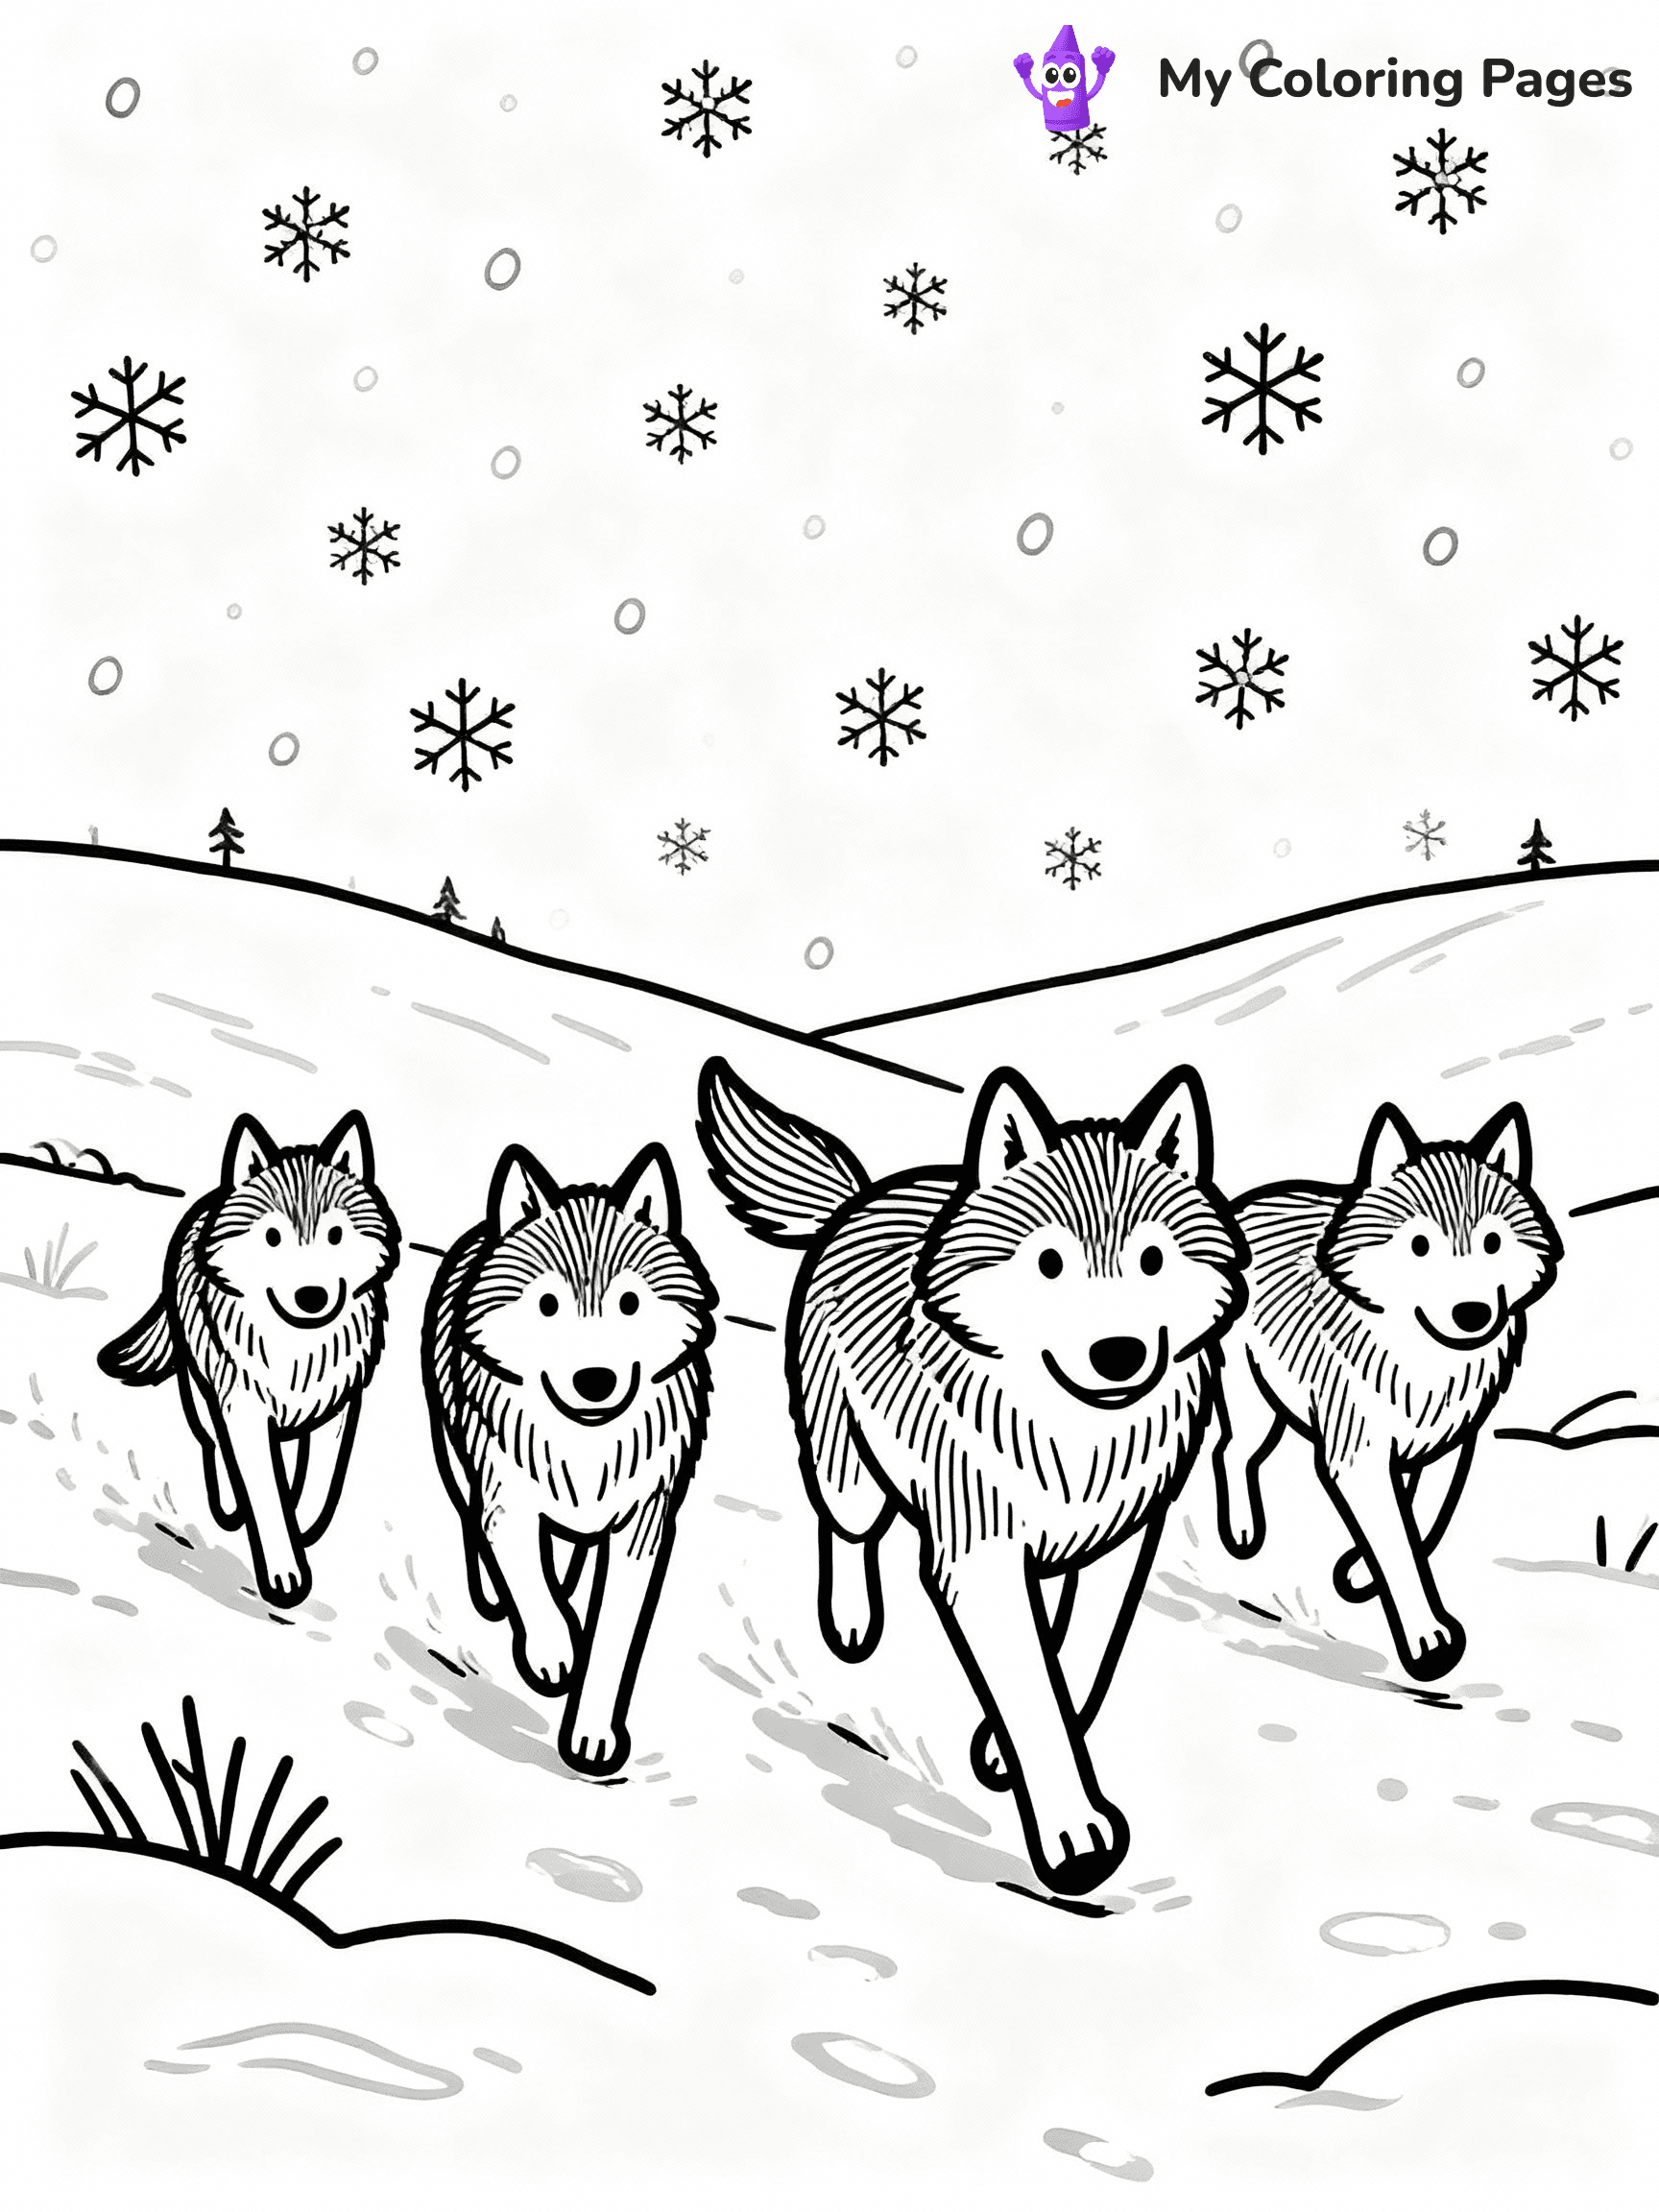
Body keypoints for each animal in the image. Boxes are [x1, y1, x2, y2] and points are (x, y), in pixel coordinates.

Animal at [99, 1111, 401, 1609]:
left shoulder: (338, 1406)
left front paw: (303, 1522)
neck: (295, 1347)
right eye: (272, 1238)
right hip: (201, 1386)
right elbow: (264, 1491)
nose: (312, 1296)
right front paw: (285, 1572)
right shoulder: (243, 1409)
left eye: (336, 1235)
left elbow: (316, 1486)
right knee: (211, 1441)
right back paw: (228, 1501)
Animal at [422, 1140, 716, 1776]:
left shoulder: (642, 1531)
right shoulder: (508, 1505)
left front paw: (592, 1737)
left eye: (630, 1303)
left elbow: (611, 1640)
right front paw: (553, 1650)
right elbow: (529, 1582)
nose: (595, 1380)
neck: (584, 1445)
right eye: (548, 1305)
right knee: (474, 1518)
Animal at [697, 1056, 1247, 1895]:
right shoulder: (979, 1560)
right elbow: (1034, 1693)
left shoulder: (1121, 1546)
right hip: (850, 1478)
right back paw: (850, 1622)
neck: (1074, 1436)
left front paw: (1000, 1748)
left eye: (1152, 1259)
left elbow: (1075, 1663)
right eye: (1049, 1264)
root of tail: (864, 1191)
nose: (1118, 1354)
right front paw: (1074, 1836)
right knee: (845, 1526)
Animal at [1212, 1100, 1561, 1681]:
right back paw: (1241, 1533)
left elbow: (1419, 1521)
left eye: (1493, 1243)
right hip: (1252, 1404)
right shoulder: (1357, 1454)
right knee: (1230, 1450)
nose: (1472, 1314)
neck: (1424, 1362)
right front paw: (1428, 1641)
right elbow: (1398, 1543)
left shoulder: (1446, 1445)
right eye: (1419, 1246)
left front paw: (1359, 1570)